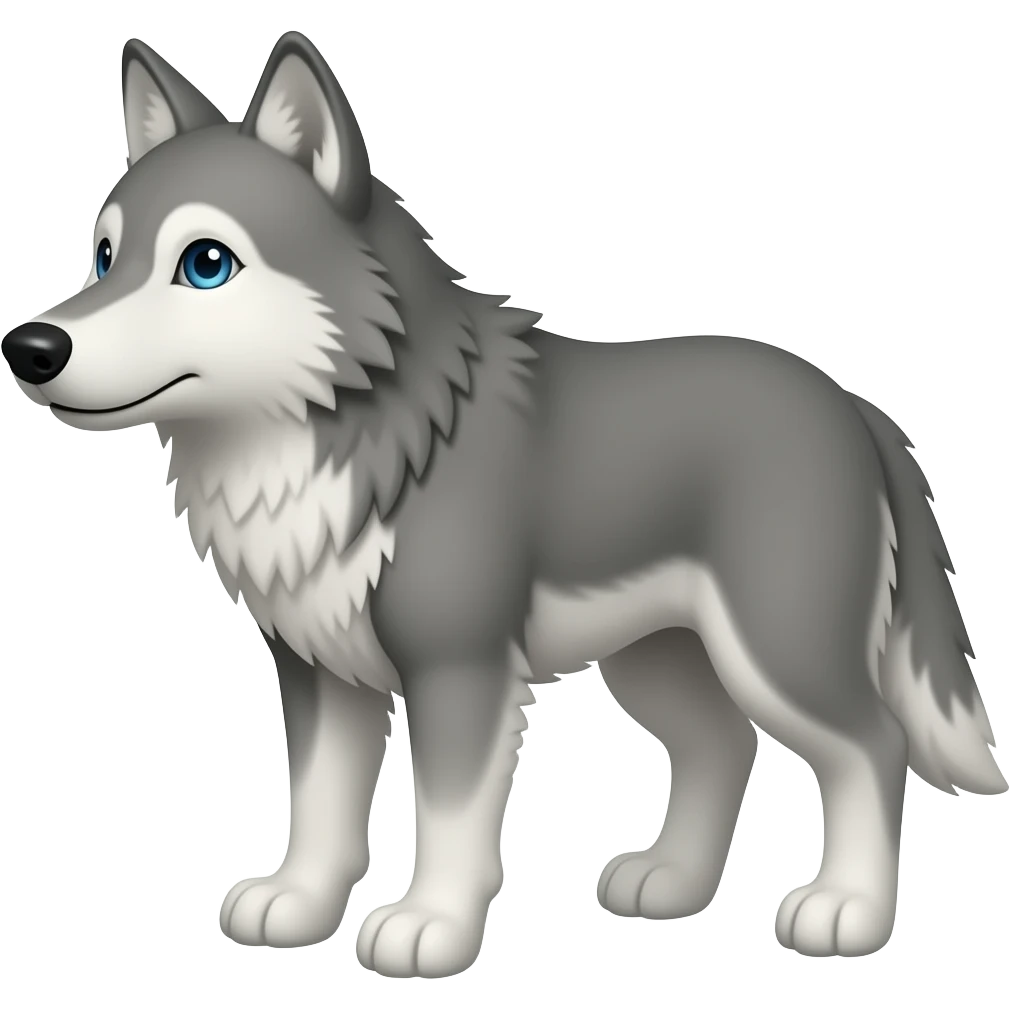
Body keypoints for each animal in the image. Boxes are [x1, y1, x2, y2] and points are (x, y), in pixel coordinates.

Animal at [2, 30, 1004, 975]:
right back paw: (672, 881)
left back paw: (850, 911)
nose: (31, 348)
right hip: (658, 657)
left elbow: (447, 819)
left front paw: (429, 928)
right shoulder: (320, 669)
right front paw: (298, 905)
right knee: (721, 746)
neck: (354, 426)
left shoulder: (461, 668)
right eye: (103, 255)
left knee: (872, 745)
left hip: (777, 647)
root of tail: (853, 405)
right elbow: (321, 804)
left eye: (205, 263)